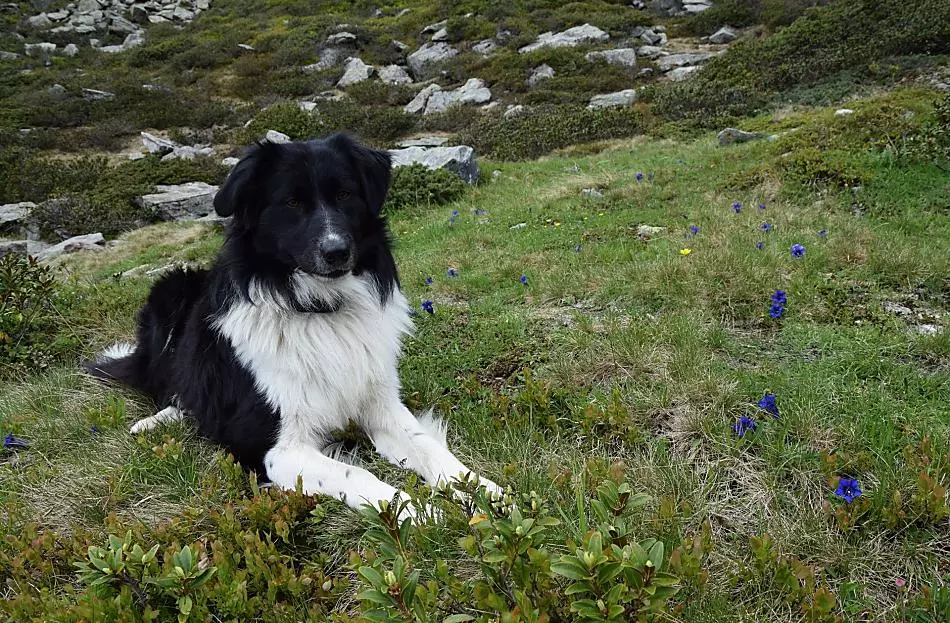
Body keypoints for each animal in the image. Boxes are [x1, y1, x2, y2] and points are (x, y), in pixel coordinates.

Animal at [86, 134, 500, 518]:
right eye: (292, 203)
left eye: (345, 194)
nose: (337, 252)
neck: (320, 309)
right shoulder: (275, 448)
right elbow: (358, 474)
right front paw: (424, 514)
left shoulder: (380, 403)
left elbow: (429, 446)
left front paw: (484, 492)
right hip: (170, 290)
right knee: (171, 386)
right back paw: (156, 420)